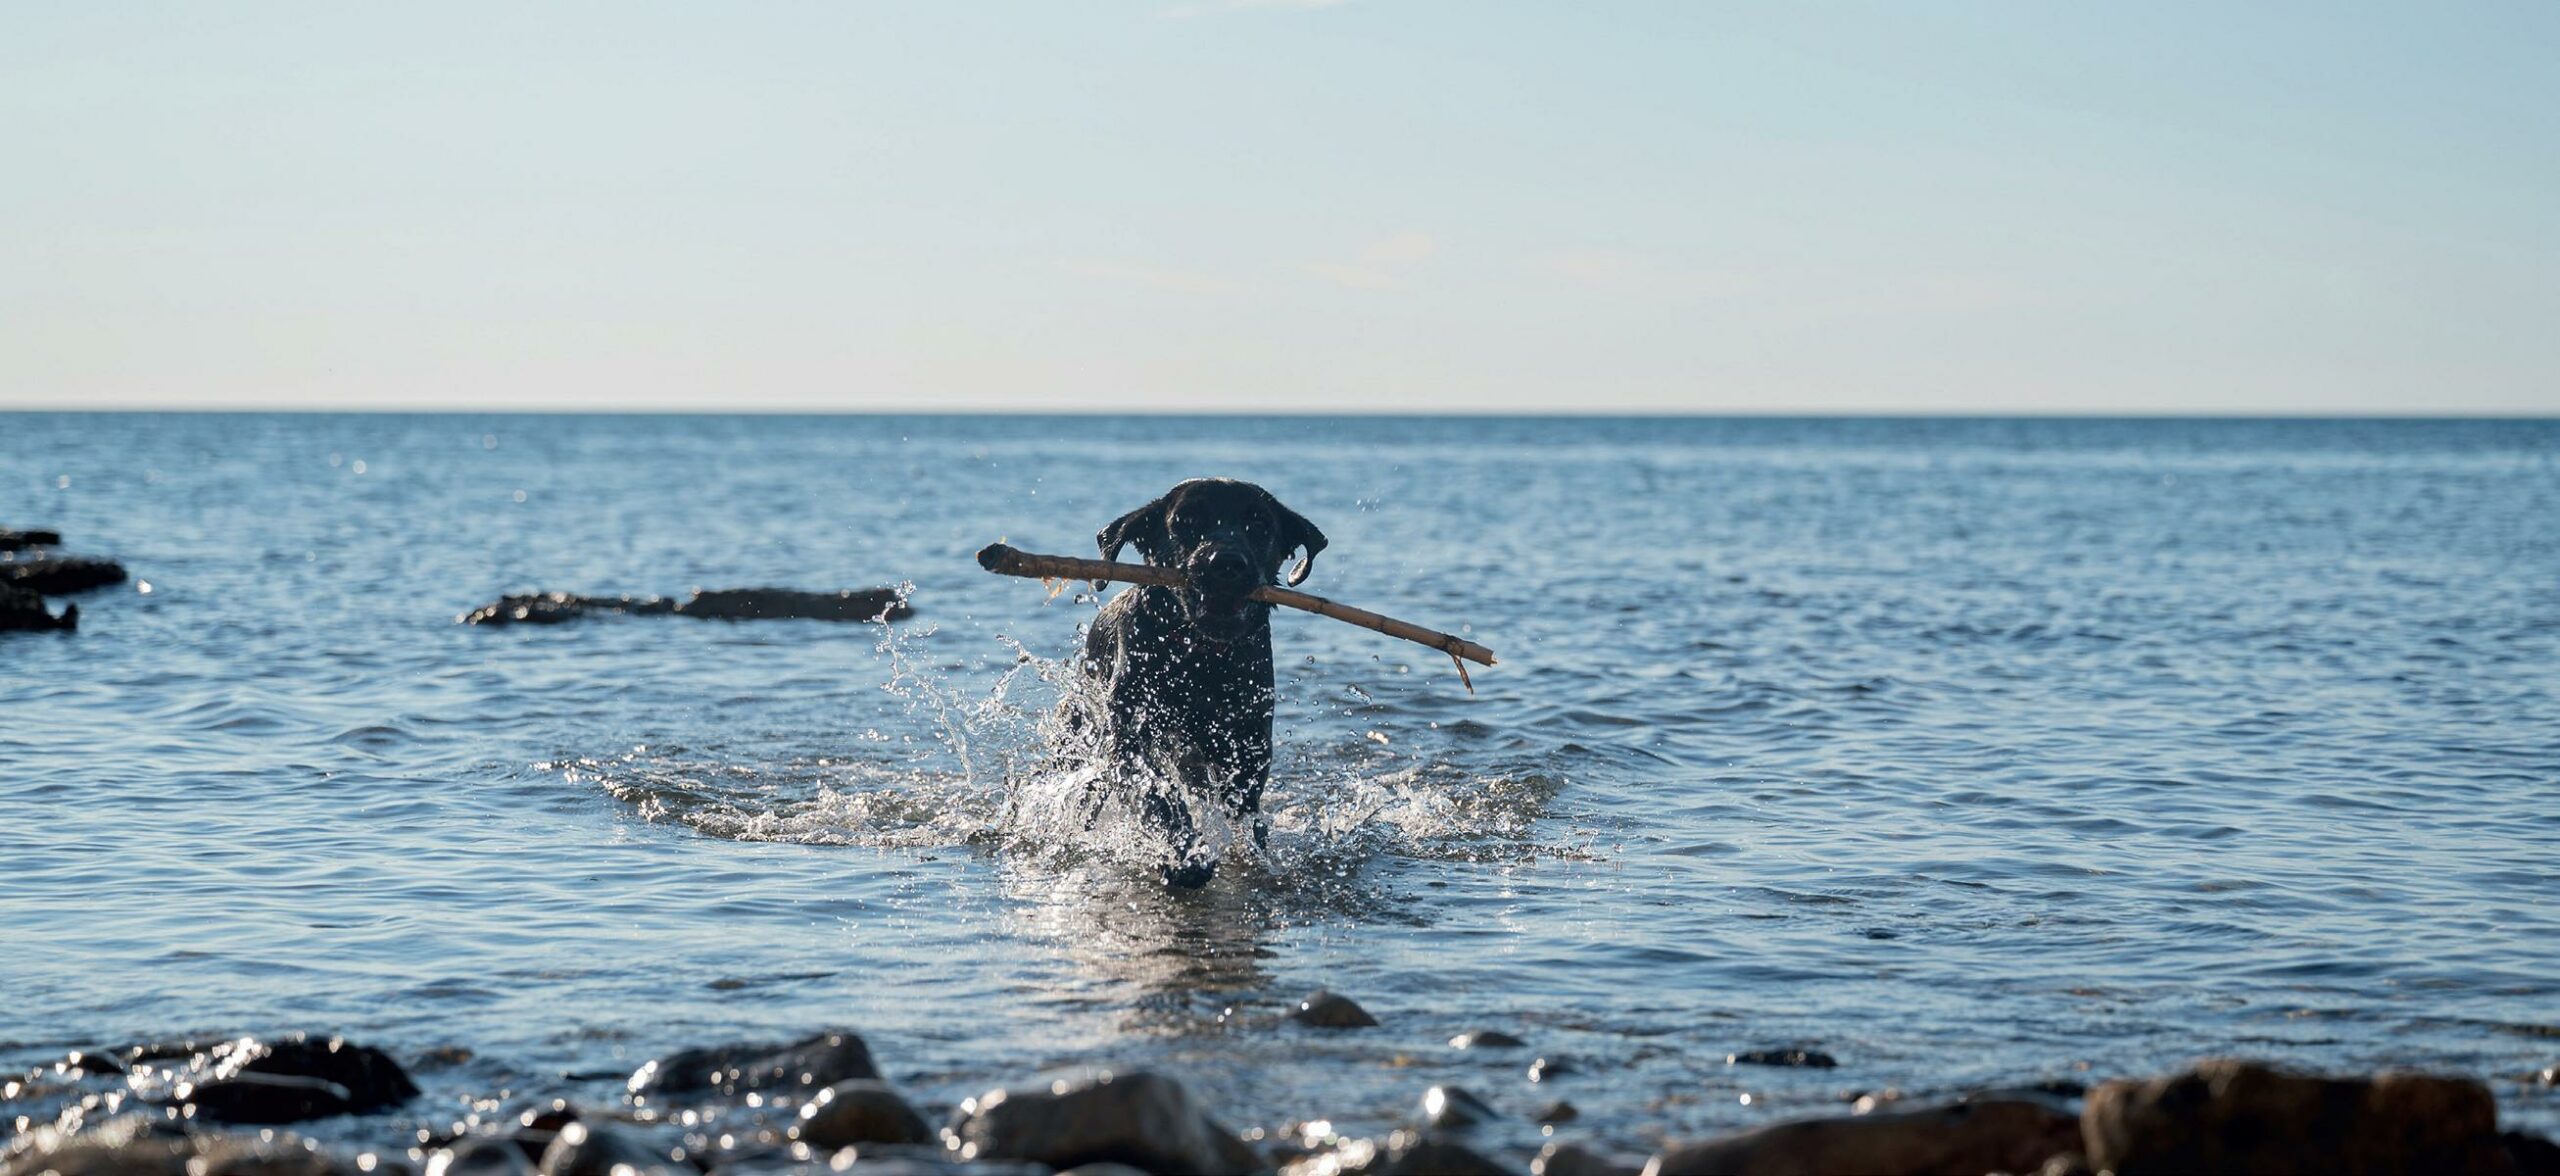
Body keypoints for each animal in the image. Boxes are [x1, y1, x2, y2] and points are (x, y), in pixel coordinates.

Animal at [1070, 476, 1331, 881]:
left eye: (1259, 524)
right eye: (1185, 520)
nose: (1226, 563)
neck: (1199, 660)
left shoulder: (1248, 746)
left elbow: (1245, 809)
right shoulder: (1127, 738)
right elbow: (1156, 792)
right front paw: (1185, 854)